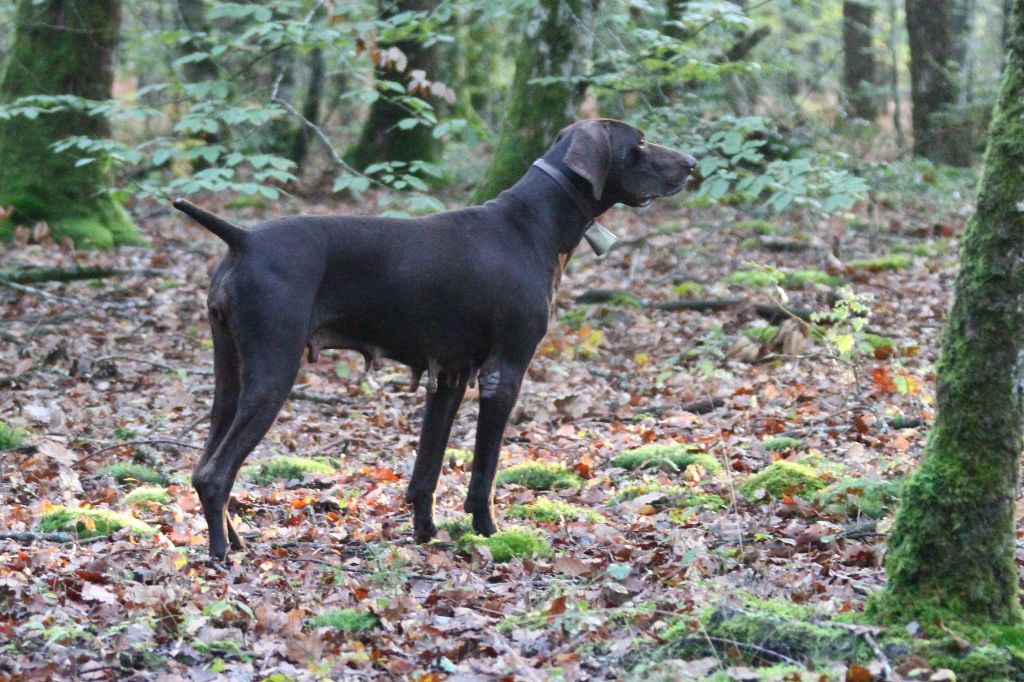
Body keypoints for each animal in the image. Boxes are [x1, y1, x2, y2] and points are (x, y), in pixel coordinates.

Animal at [174, 119, 696, 561]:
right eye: (640, 141)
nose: (692, 164)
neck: (535, 224)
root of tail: (242, 239)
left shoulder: (450, 375)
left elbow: (427, 468)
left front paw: (426, 533)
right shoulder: (503, 373)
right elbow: (484, 472)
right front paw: (489, 532)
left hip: (230, 379)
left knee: (205, 464)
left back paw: (235, 540)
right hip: (274, 373)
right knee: (216, 473)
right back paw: (221, 553)